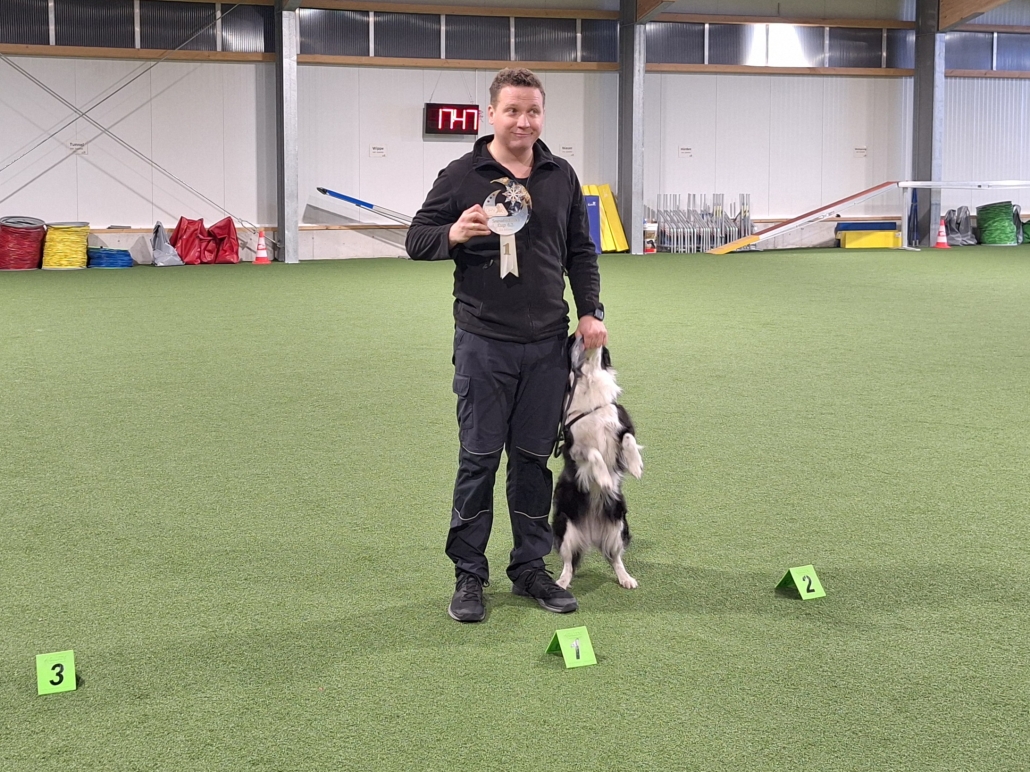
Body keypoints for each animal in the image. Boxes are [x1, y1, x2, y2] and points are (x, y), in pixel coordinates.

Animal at [551, 337, 643, 590]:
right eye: (571, 340)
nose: (581, 335)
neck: (588, 379)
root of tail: (592, 534)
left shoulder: (621, 421)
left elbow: (629, 438)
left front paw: (635, 466)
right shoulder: (573, 447)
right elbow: (593, 453)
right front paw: (603, 479)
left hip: (618, 523)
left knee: (615, 557)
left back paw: (626, 579)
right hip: (564, 525)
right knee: (569, 562)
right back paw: (561, 582)